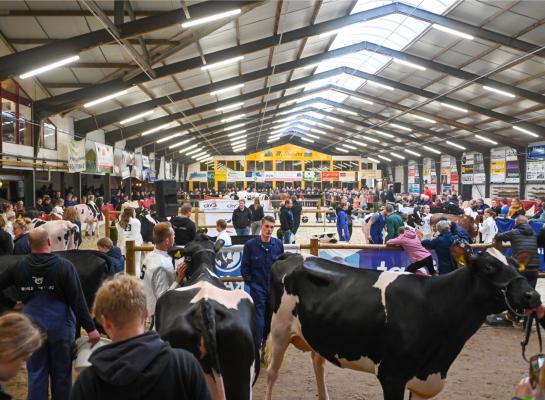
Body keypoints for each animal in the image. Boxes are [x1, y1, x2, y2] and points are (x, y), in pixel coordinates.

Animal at [264, 247, 540, 400]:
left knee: (318, 362)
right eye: (489, 266)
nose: (533, 296)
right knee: (272, 373)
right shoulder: (392, 376)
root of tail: (295, 254)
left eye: (516, 265)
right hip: (279, 330)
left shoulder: (425, 383)